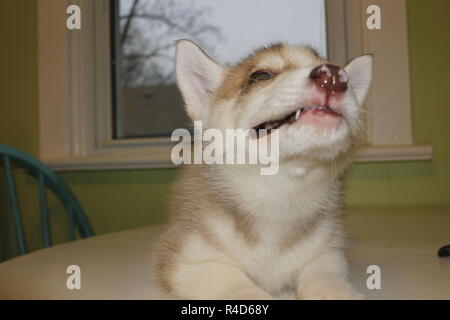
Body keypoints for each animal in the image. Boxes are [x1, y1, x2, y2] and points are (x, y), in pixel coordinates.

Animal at [153, 40, 370, 300]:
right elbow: (234, 281)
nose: (335, 76)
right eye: (261, 76)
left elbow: (324, 274)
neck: (279, 192)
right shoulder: (181, 260)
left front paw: (336, 292)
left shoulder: (328, 252)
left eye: (339, 70)